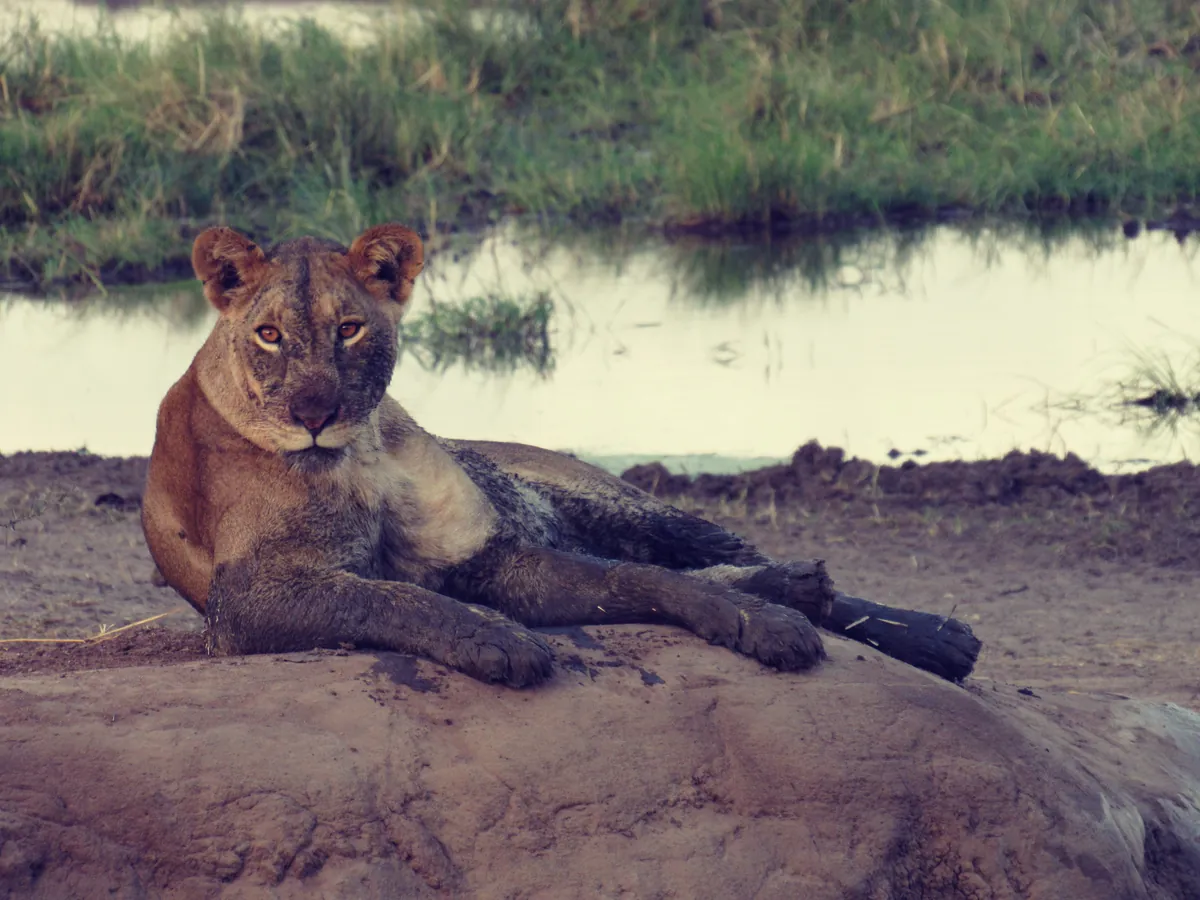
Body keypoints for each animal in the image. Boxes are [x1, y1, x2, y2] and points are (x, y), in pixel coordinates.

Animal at [141, 223, 980, 687]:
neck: (365, 453)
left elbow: (637, 580)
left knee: (715, 555)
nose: (315, 414)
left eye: (348, 329)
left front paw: (758, 623)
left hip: (608, 500)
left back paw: (925, 633)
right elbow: (389, 598)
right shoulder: (246, 599)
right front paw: (494, 639)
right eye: (269, 335)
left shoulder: (490, 554)